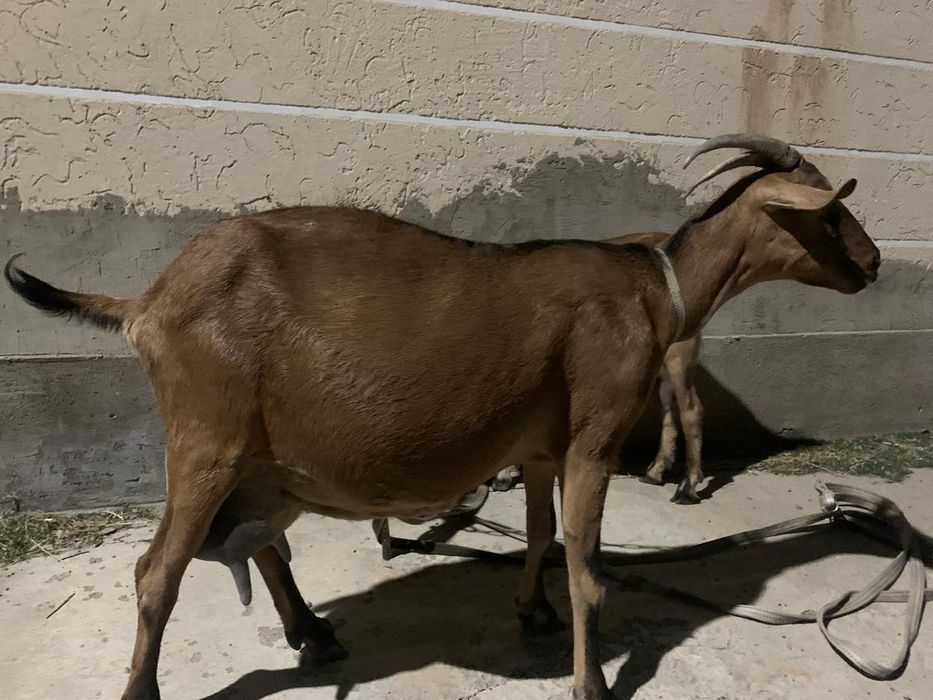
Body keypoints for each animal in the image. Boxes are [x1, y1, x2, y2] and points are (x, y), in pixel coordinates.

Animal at [5, 133, 880, 700]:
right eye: (831, 212)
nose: (872, 264)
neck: (653, 289)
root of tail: (144, 304)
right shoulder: (593, 435)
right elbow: (586, 566)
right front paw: (591, 682)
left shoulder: (540, 446)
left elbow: (539, 533)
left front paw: (531, 610)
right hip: (204, 440)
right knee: (157, 573)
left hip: (261, 463)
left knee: (262, 545)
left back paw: (314, 632)